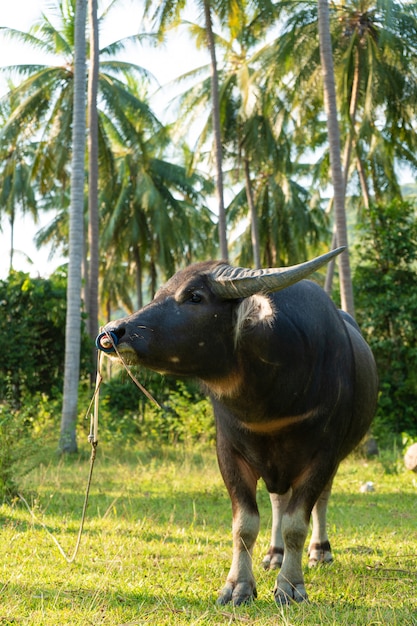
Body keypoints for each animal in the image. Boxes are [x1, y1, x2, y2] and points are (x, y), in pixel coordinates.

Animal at [96, 246, 376, 604]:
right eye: (158, 293)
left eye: (195, 296)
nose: (113, 332)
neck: (271, 396)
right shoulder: (229, 452)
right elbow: (245, 524)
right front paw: (238, 586)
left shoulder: (323, 454)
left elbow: (296, 523)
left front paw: (291, 586)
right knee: (277, 500)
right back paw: (274, 554)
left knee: (320, 501)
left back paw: (319, 552)